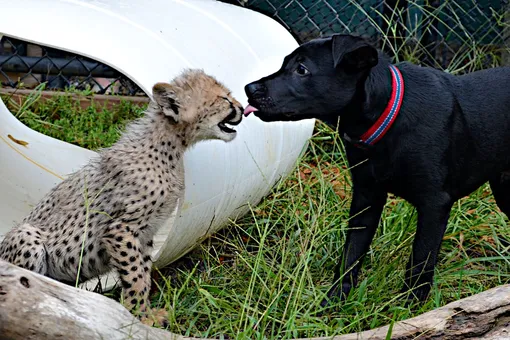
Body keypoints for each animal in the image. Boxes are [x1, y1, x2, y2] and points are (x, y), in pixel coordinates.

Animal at [242, 33, 510, 306]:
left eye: (302, 69)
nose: (249, 88)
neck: (389, 115)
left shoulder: (434, 204)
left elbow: (420, 259)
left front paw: (408, 307)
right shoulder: (366, 196)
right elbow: (352, 251)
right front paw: (335, 298)